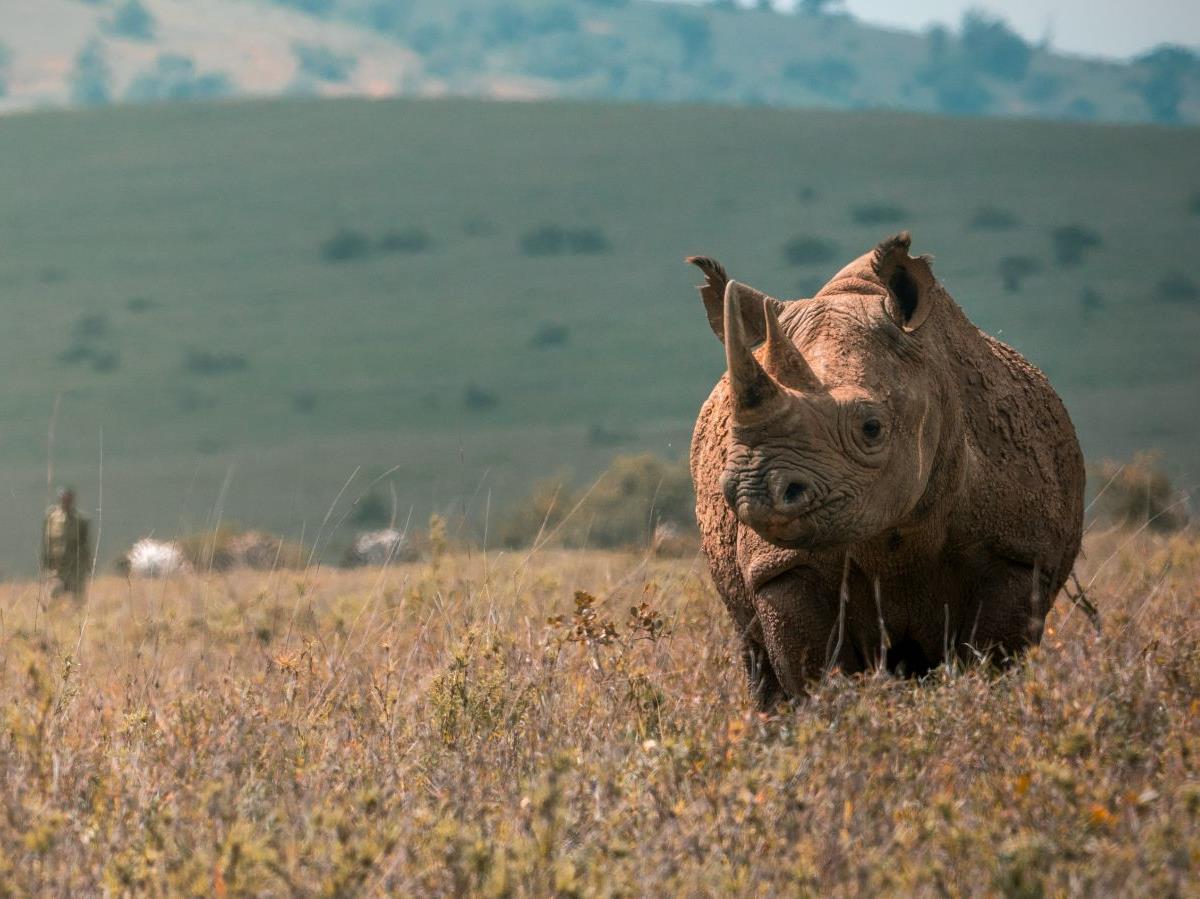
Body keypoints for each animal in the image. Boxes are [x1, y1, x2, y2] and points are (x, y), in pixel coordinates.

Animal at [687, 233, 1085, 706]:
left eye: (871, 428)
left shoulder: (1019, 554)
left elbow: (994, 660)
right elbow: (813, 673)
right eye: (731, 430)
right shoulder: (780, 567)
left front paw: (983, 706)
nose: (756, 494)